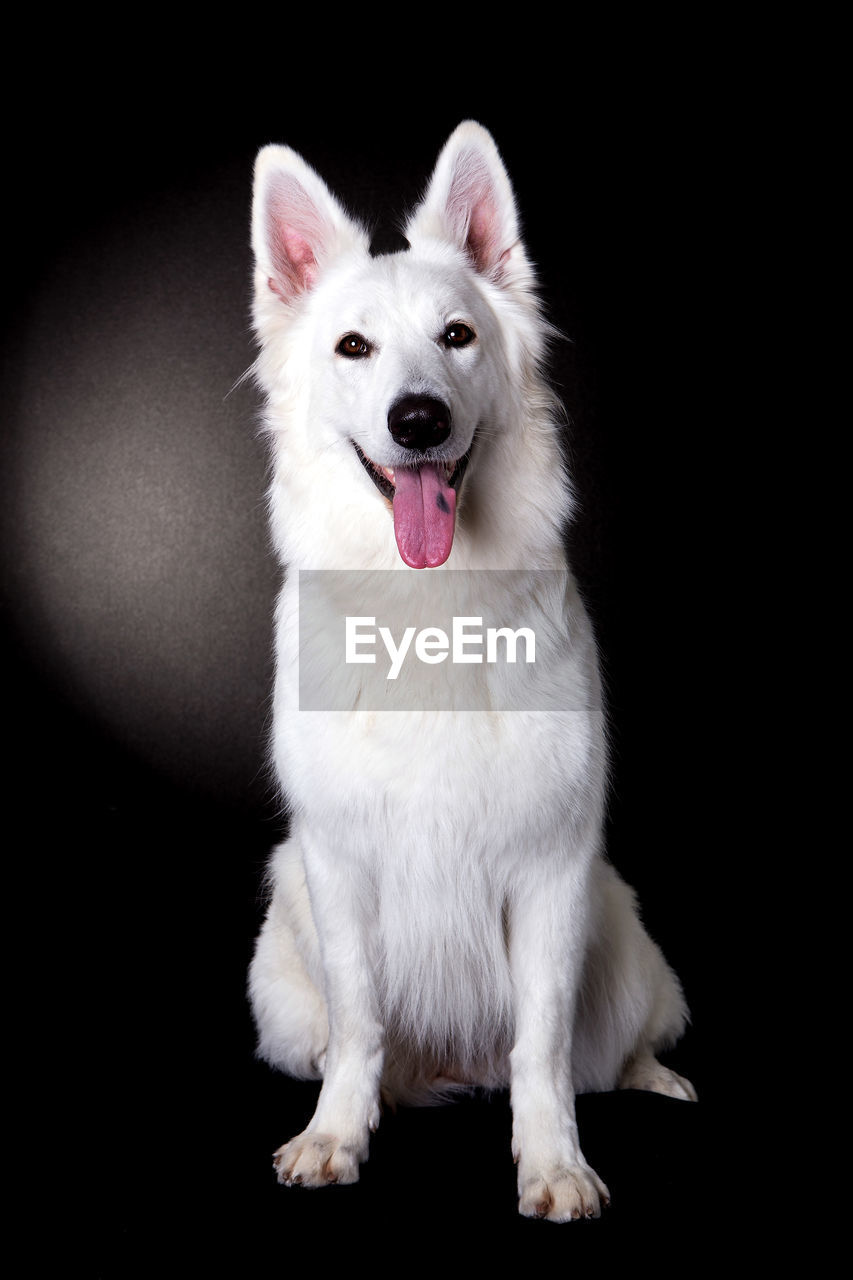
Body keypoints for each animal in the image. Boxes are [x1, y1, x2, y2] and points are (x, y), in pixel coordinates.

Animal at [244, 122, 691, 1228]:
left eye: (457, 336)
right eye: (352, 347)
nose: (416, 420)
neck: (426, 615)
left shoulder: (550, 871)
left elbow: (541, 1047)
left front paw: (553, 1164)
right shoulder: (339, 866)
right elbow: (360, 1024)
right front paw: (336, 1136)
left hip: (619, 937)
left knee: (611, 1050)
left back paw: (654, 1075)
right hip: (279, 974)